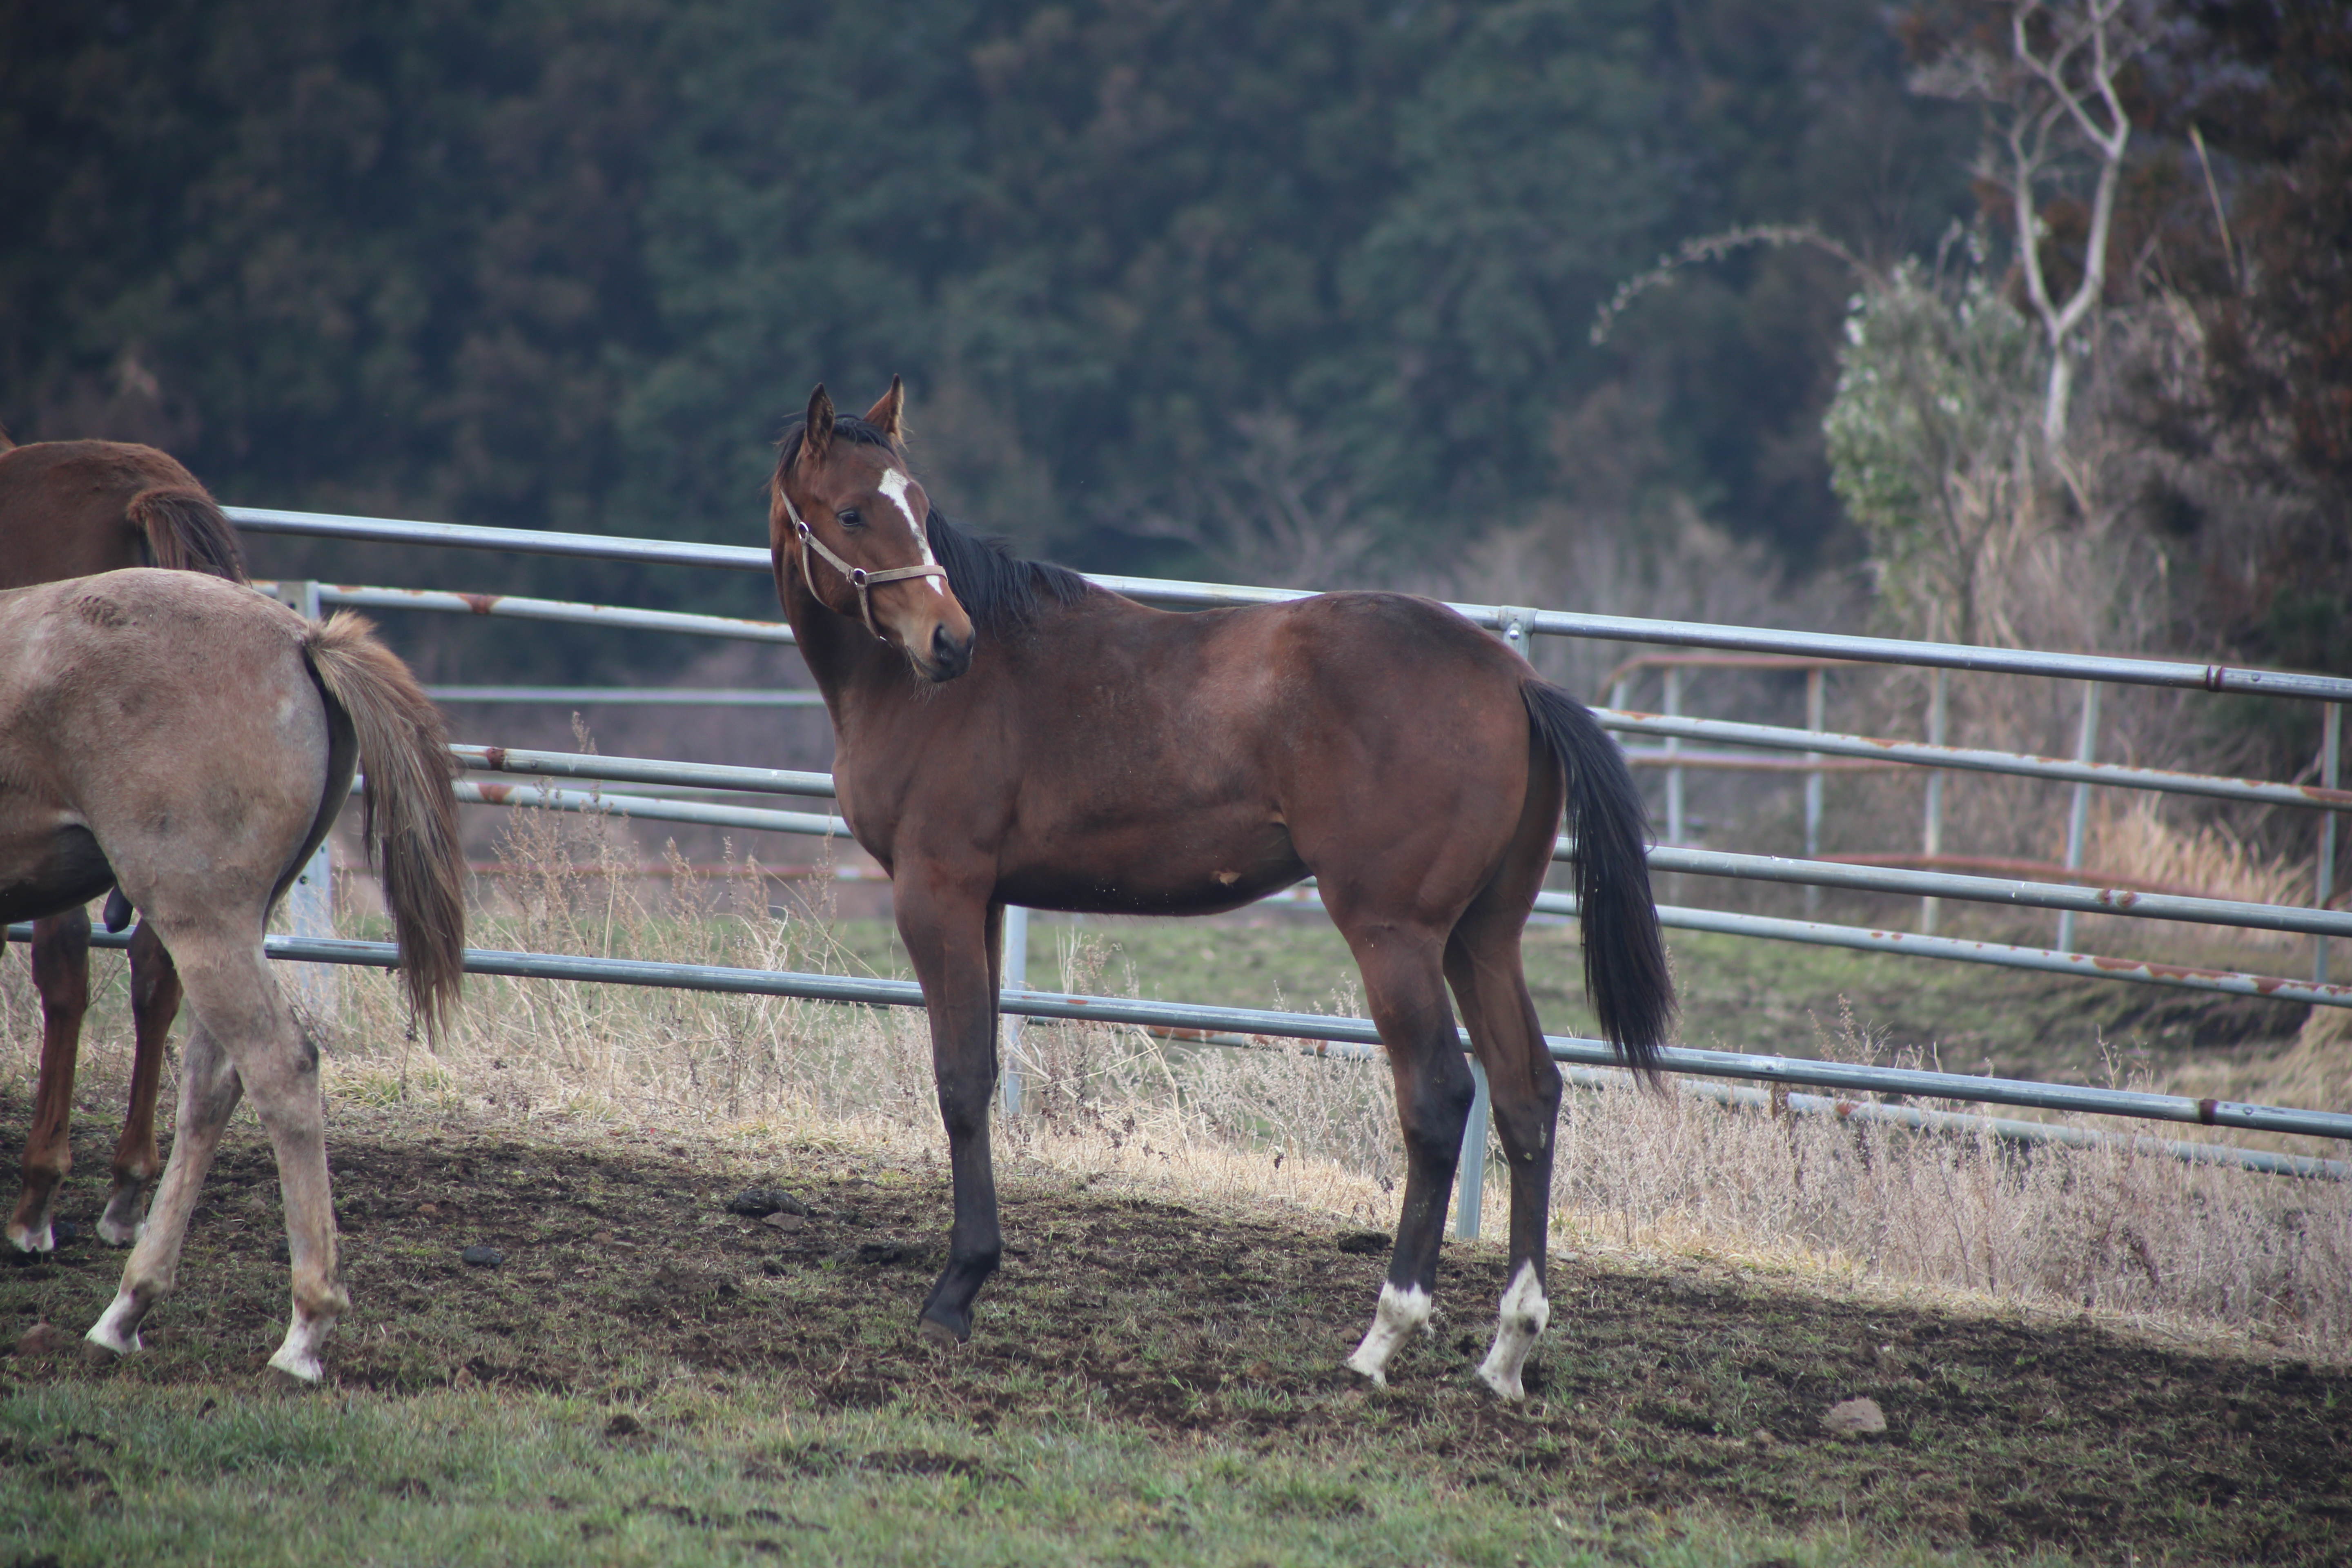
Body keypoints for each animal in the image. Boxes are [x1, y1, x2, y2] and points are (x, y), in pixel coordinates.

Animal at [0, 571, 468, 1382]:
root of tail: (300, 641)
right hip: (231, 928)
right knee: (213, 1086)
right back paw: (127, 1310)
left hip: (202, 921)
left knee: (281, 1069)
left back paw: (304, 1331)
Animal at [771, 383, 1675, 1401]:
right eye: (856, 511)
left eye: (916, 508)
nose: (948, 641)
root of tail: (1515, 677)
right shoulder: (989, 901)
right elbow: (986, 1069)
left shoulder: (939, 894)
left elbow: (961, 1081)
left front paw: (956, 1293)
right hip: (1481, 938)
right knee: (1528, 1097)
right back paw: (1508, 1349)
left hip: (1396, 935)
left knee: (1441, 1098)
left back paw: (1383, 1337)